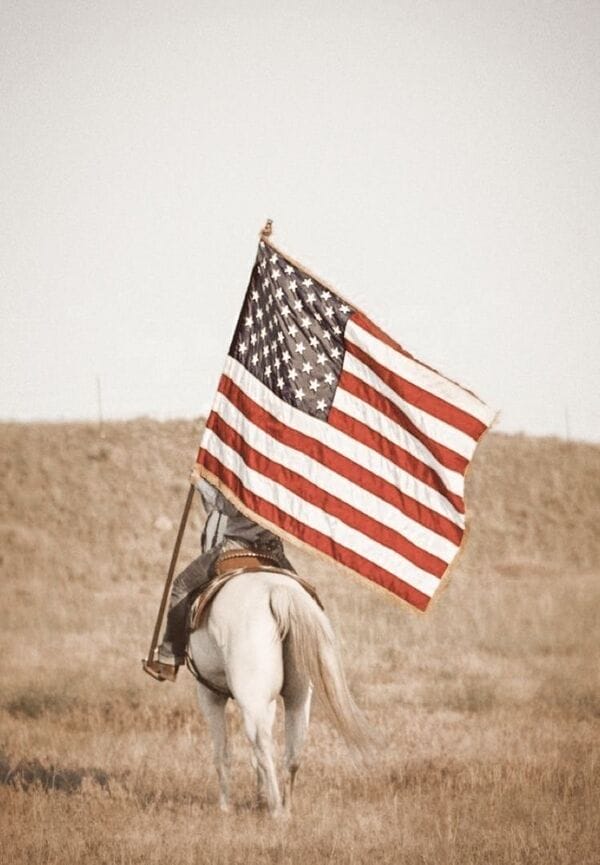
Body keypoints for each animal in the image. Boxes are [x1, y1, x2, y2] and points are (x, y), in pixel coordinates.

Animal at [189, 572, 366, 812]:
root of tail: (276, 591)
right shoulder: (269, 703)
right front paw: (258, 798)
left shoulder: (210, 695)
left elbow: (222, 753)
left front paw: (225, 807)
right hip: (297, 698)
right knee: (293, 751)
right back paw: (285, 808)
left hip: (251, 702)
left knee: (263, 746)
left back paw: (275, 810)